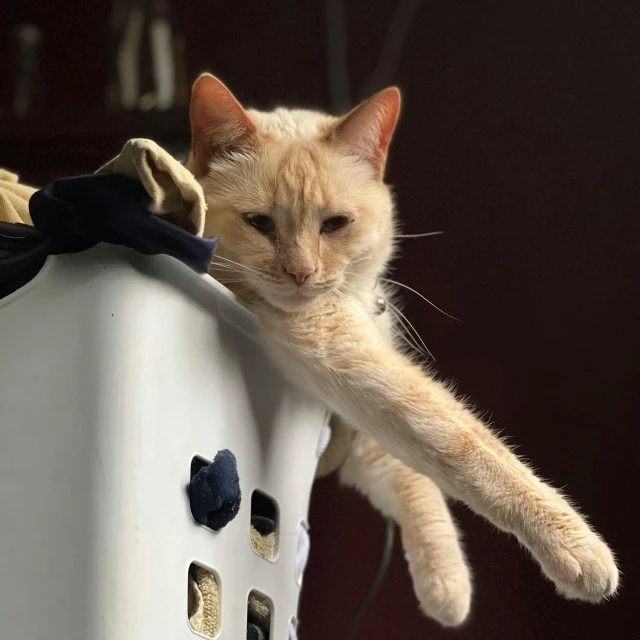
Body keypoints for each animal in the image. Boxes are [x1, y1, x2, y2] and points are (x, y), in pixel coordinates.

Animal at [185, 72, 620, 624]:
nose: (301, 274)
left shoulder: (356, 431)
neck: (352, 301)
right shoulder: (353, 363)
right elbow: (471, 446)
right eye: (259, 222)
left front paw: (447, 587)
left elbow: (417, 479)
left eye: (335, 224)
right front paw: (580, 552)